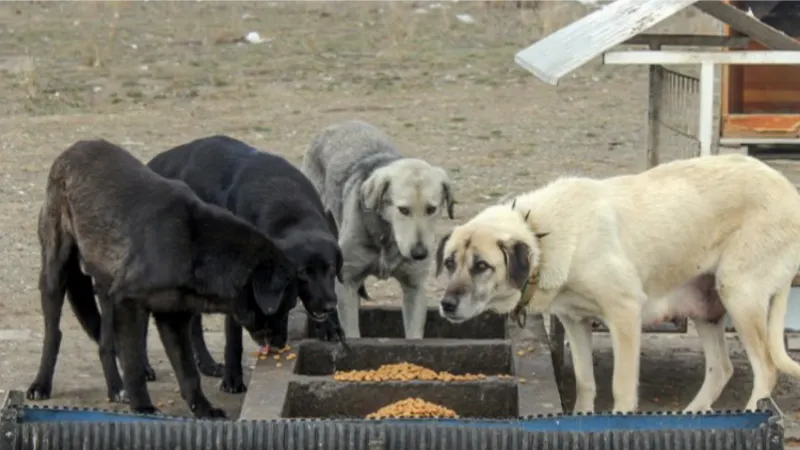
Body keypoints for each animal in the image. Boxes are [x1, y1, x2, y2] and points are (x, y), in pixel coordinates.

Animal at [23, 141, 310, 418]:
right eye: (286, 305)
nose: (281, 345)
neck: (196, 248)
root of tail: (71, 150)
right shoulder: (129, 304)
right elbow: (134, 363)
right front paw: (142, 408)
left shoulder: (172, 318)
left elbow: (188, 372)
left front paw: (203, 409)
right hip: (55, 273)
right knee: (54, 334)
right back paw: (41, 384)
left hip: (105, 289)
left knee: (105, 344)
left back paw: (116, 389)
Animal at [145, 135, 346, 392]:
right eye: (303, 273)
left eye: (331, 269)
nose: (329, 306)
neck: (290, 209)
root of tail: (153, 163)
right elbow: (233, 338)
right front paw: (233, 379)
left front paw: (330, 326)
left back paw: (207, 364)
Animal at [302, 119, 456, 338]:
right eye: (403, 209)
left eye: (431, 209)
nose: (419, 253)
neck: (387, 235)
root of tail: (338, 124)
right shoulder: (347, 283)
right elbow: (352, 333)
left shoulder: (415, 288)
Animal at [434, 153, 800, 414]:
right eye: (450, 263)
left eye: (482, 266)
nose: (446, 305)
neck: (542, 234)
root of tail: (787, 187)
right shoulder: (574, 321)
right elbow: (585, 382)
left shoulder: (625, 313)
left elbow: (620, 387)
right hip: (705, 307)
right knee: (721, 368)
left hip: (738, 294)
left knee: (766, 369)